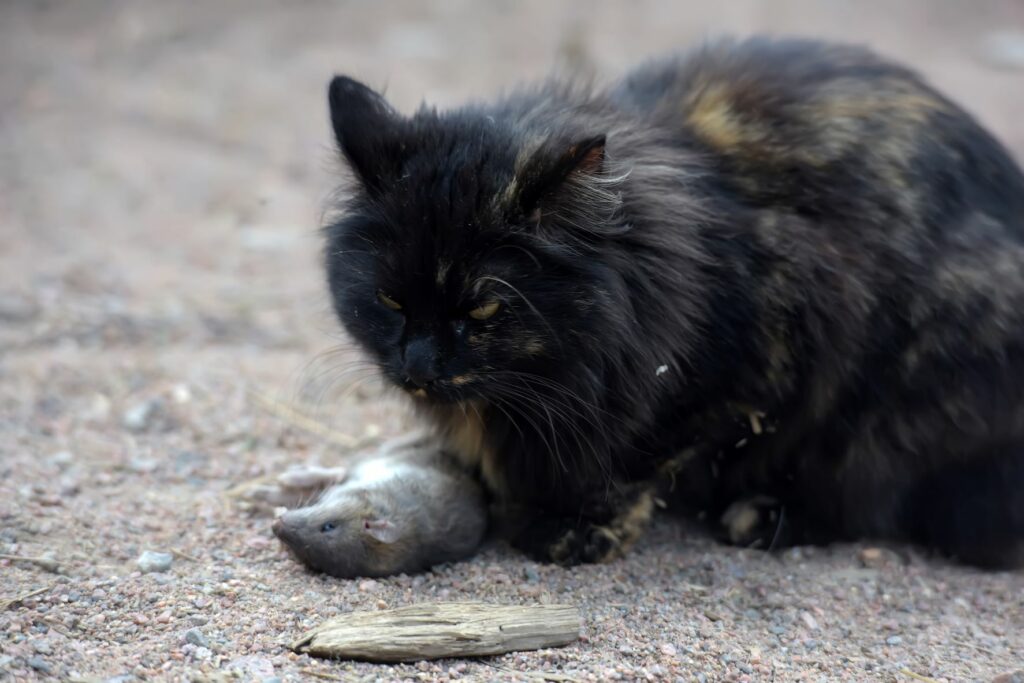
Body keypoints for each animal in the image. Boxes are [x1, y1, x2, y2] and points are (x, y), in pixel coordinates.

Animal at [323, 38, 1024, 573]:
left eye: (484, 311)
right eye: (388, 298)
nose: (417, 367)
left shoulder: (757, 352)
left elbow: (643, 452)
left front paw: (577, 526)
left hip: (904, 392)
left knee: (867, 496)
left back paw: (763, 516)